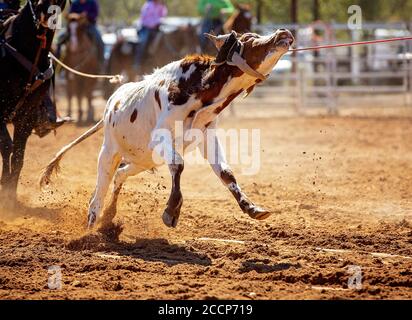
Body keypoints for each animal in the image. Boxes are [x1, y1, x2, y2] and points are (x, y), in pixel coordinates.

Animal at [40, 30, 294, 229]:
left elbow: (225, 172)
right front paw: (171, 211)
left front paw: (252, 208)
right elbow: (178, 165)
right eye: (250, 38)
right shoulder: (160, 140)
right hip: (109, 152)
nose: (284, 33)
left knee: (120, 174)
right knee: (100, 187)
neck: (198, 91)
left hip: (142, 161)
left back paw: (109, 216)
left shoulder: (207, 138)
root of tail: (112, 102)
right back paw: (92, 222)